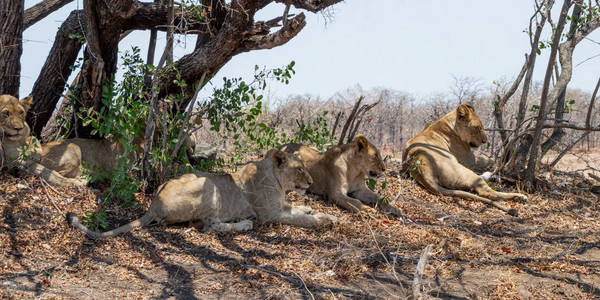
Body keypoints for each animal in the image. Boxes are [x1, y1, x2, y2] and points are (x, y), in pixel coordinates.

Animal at [67, 149, 338, 238]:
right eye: (299, 169)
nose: (310, 181)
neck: (280, 183)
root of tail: (153, 205)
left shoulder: (278, 206)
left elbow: (297, 209)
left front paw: (311, 208)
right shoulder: (269, 215)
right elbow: (300, 219)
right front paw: (325, 218)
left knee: (201, 224)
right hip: (209, 186)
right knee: (209, 226)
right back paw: (243, 225)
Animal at [276, 135, 404, 216]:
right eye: (376, 155)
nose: (384, 168)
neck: (354, 171)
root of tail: (280, 147)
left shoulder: (359, 190)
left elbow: (378, 197)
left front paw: (395, 209)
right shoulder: (336, 194)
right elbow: (354, 202)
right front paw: (367, 209)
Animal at [400, 103, 528, 216]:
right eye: (477, 128)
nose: (485, 141)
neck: (446, 122)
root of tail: (421, 168)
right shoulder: (470, 159)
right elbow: (488, 160)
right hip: (464, 171)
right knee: (487, 192)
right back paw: (519, 197)